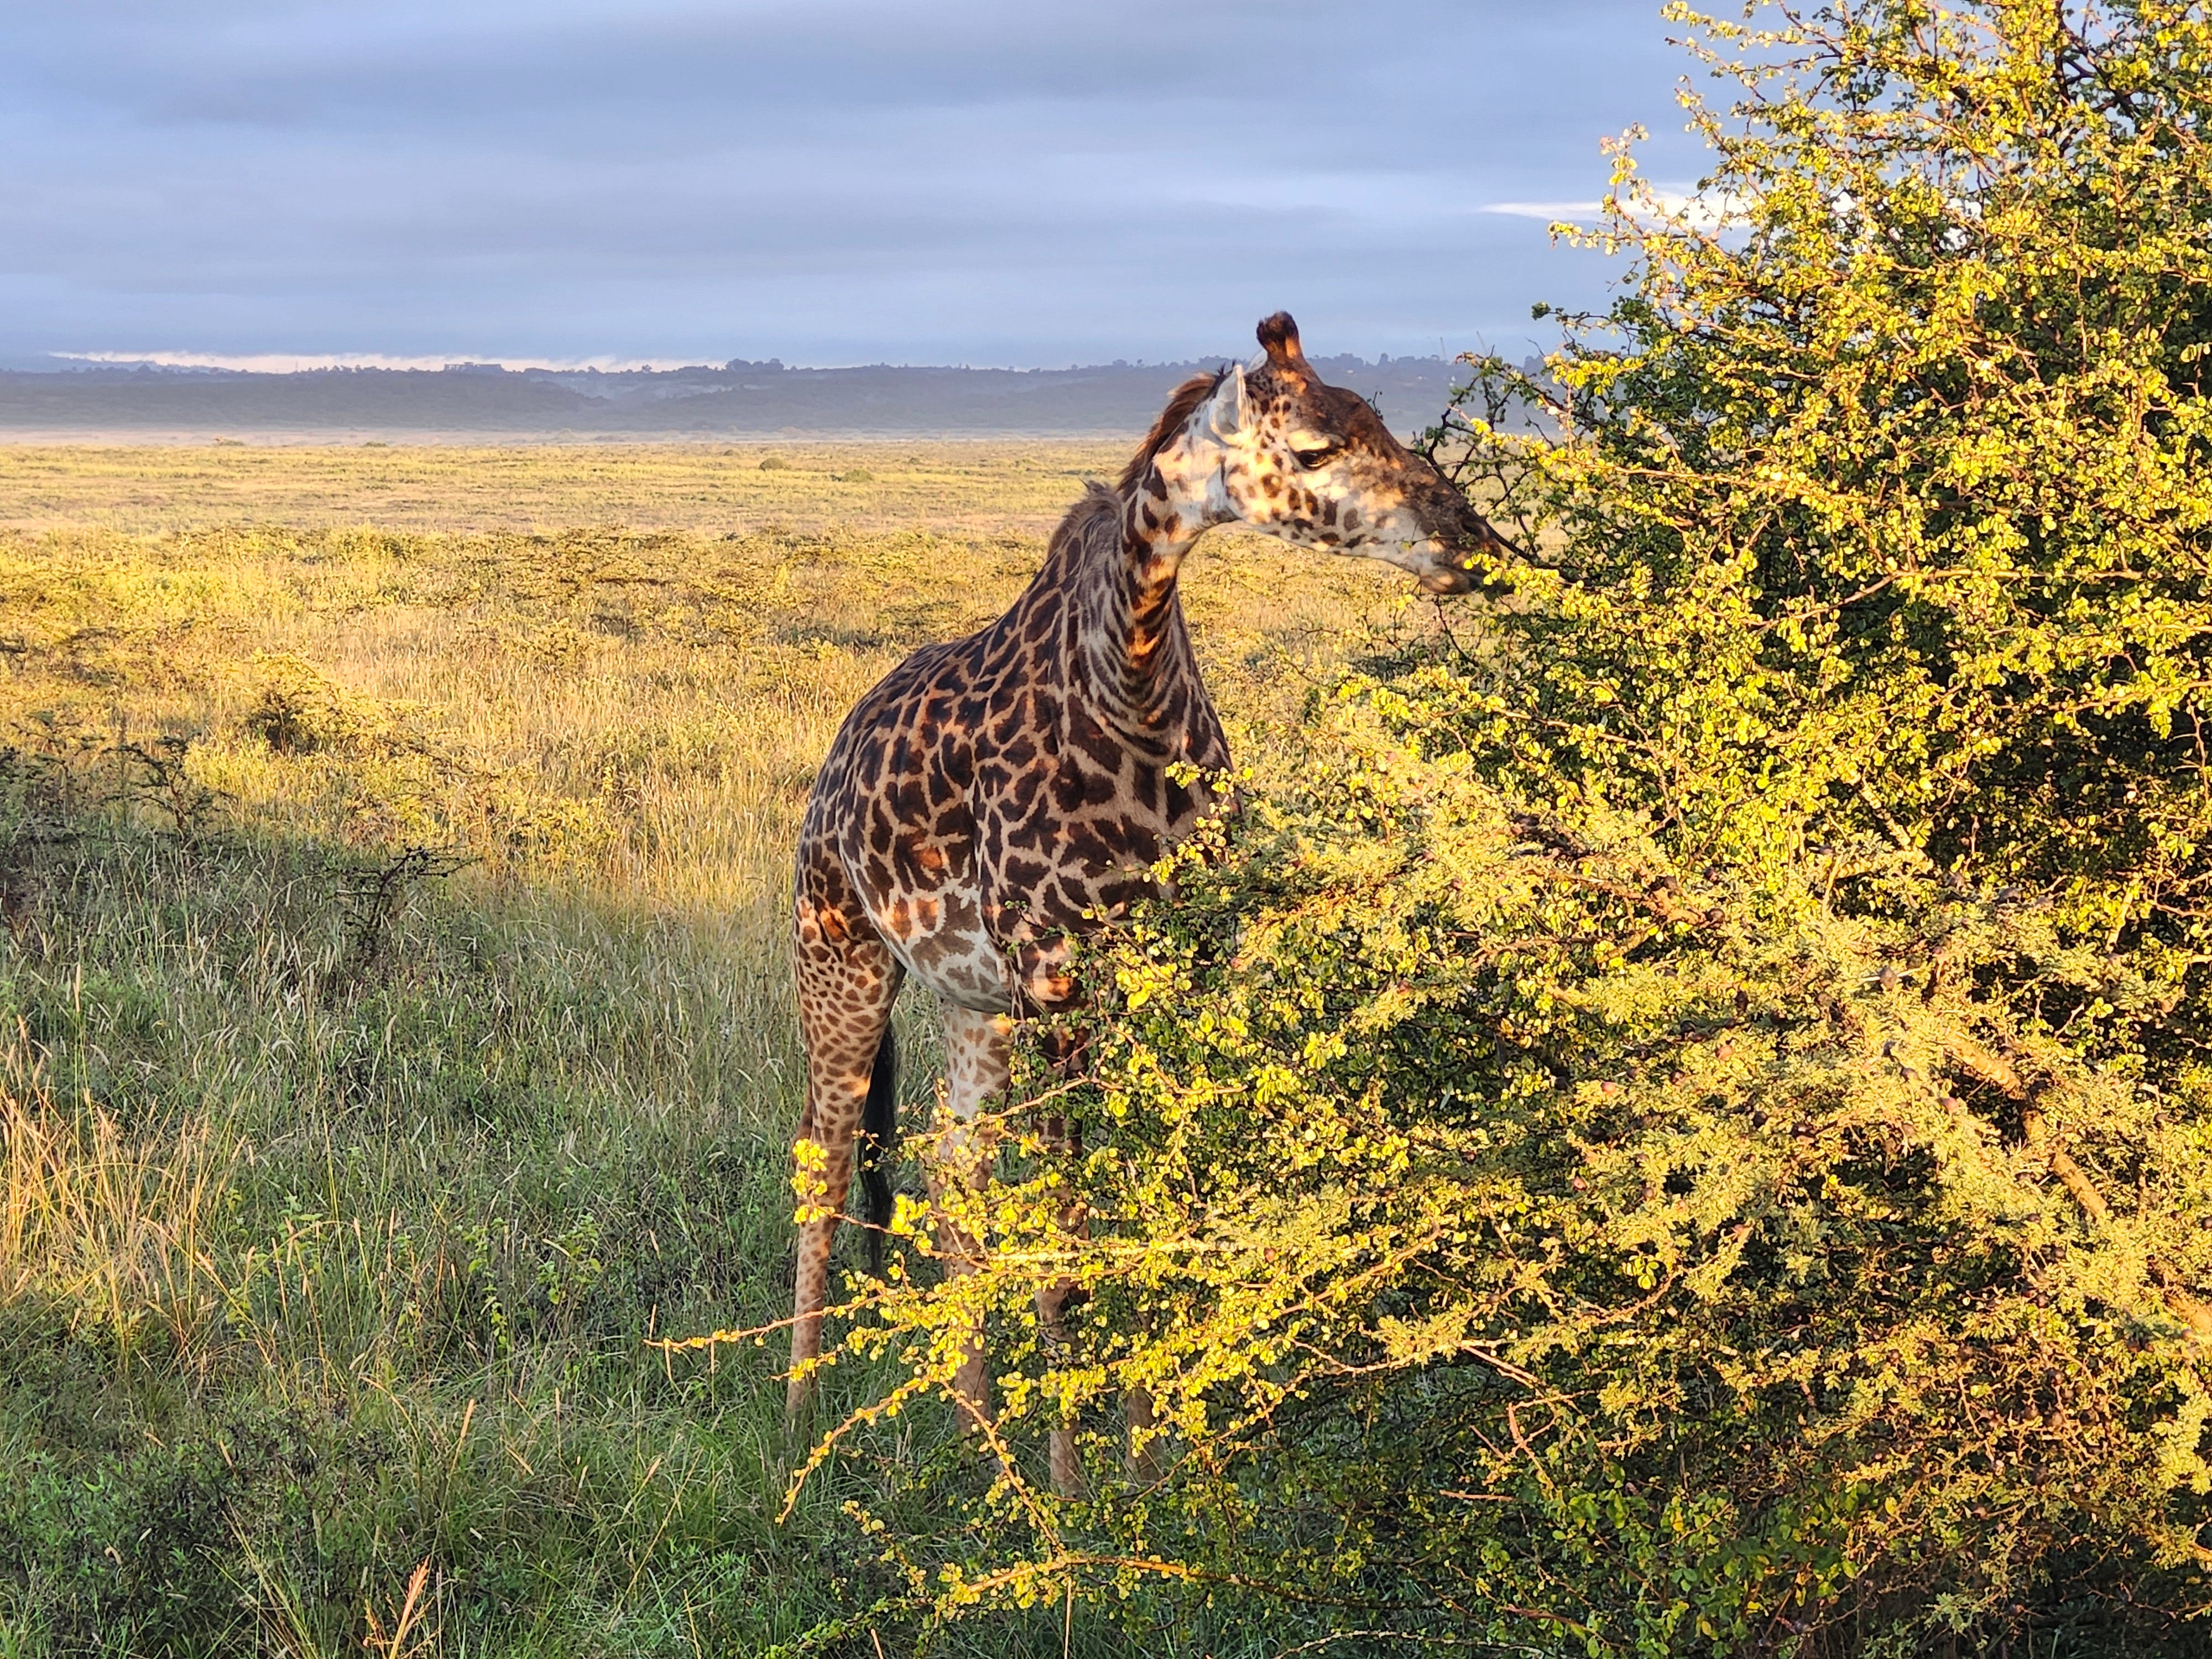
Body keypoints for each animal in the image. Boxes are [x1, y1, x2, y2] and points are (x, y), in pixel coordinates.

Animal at [785, 312, 1510, 1482]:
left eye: (1385, 423)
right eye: (1315, 448)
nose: (1469, 540)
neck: (1129, 694)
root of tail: (836, 756)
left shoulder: (1181, 976)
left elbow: (1160, 1214)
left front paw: (1159, 1470)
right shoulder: (1059, 987)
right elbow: (1072, 1252)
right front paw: (1083, 1492)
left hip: (968, 1002)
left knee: (953, 1184)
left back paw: (980, 1450)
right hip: (841, 958)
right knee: (825, 1162)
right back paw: (801, 1427)